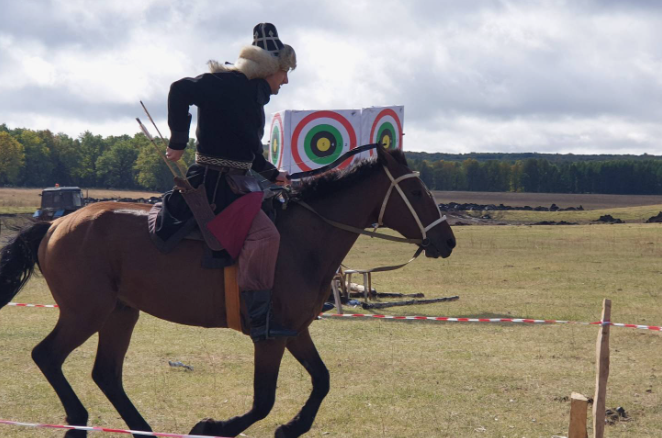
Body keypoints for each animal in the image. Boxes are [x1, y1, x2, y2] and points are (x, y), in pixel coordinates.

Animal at [0, 145, 456, 436]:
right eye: (416, 192)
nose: (447, 240)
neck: (301, 240)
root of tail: (56, 223)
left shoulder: (294, 331)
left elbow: (322, 380)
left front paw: (292, 427)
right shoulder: (269, 338)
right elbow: (263, 401)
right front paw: (213, 427)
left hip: (120, 313)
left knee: (106, 373)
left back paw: (140, 429)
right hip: (86, 312)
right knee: (48, 356)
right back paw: (77, 421)